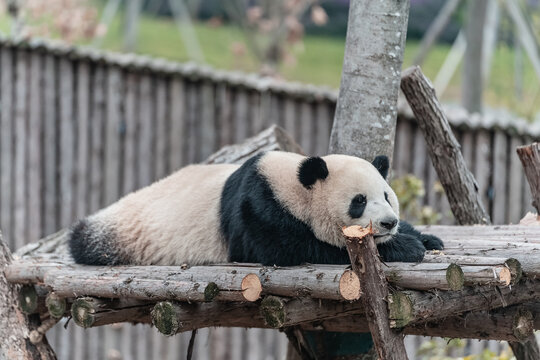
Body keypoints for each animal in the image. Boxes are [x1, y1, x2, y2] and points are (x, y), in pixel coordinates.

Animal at [69, 150, 442, 266]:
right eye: (359, 201)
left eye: (387, 196)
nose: (388, 223)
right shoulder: (260, 208)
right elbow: (290, 247)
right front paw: (405, 247)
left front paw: (426, 238)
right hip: (123, 233)